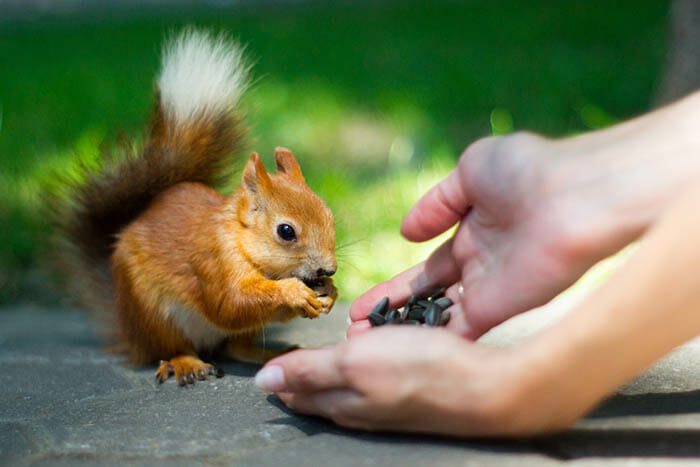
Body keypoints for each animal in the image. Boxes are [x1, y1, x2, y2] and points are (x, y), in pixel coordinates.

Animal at [54, 29, 338, 385]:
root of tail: (130, 332)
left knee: (236, 346)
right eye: (286, 231)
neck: (242, 243)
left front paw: (331, 293)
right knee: (173, 347)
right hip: (154, 314)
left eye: (330, 216)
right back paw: (187, 363)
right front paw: (293, 292)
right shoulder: (211, 262)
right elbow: (230, 304)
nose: (329, 270)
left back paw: (268, 353)